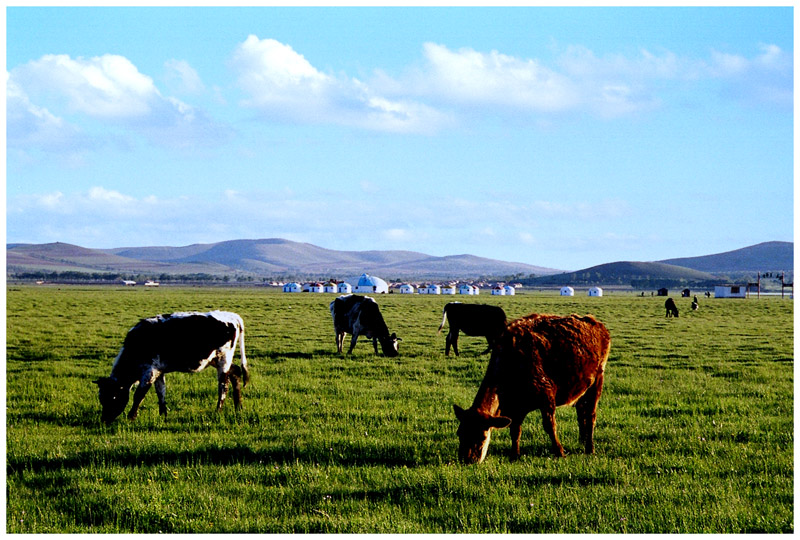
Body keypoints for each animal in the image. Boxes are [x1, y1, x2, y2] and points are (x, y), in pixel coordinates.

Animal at [92, 310, 247, 424]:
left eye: (113, 396)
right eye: (101, 397)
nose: (104, 420)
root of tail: (232, 316)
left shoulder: (149, 371)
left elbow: (139, 395)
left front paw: (131, 416)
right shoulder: (158, 371)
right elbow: (161, 391)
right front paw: (163, 414)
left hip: (223, 360)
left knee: (223, 385)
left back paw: (218, 410)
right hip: (215, 361)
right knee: (236, 373)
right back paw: (238, 406)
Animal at [454, 312, 608, 464]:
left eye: (482, 436)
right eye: (459, 433)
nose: (467, 459)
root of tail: (598, 326)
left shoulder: (547, 397)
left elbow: (550, 426)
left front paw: (559, 452)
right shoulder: (516, 408)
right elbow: (515, 430)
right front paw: (514, 455)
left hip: (597, 381)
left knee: (591, 415)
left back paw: (590, 448)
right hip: (582, 389)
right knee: (581, 411)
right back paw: (582, 441)